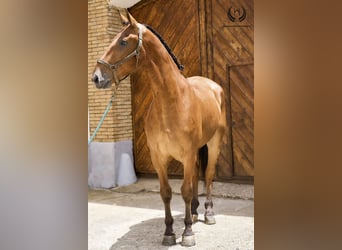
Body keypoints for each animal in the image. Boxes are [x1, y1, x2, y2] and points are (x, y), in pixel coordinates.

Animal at [91, 9, 227, 246]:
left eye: (123, 42)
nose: (96, 77)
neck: (172, 101)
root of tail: (213, 86)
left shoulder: (187, 153)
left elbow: (185, 191)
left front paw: (187, 233)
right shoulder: (159, 157)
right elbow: (166, 193)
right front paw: (170, 232)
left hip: (213, 144)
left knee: (208, 176)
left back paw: (208, 214)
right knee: (195, 179)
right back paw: (194, 212)